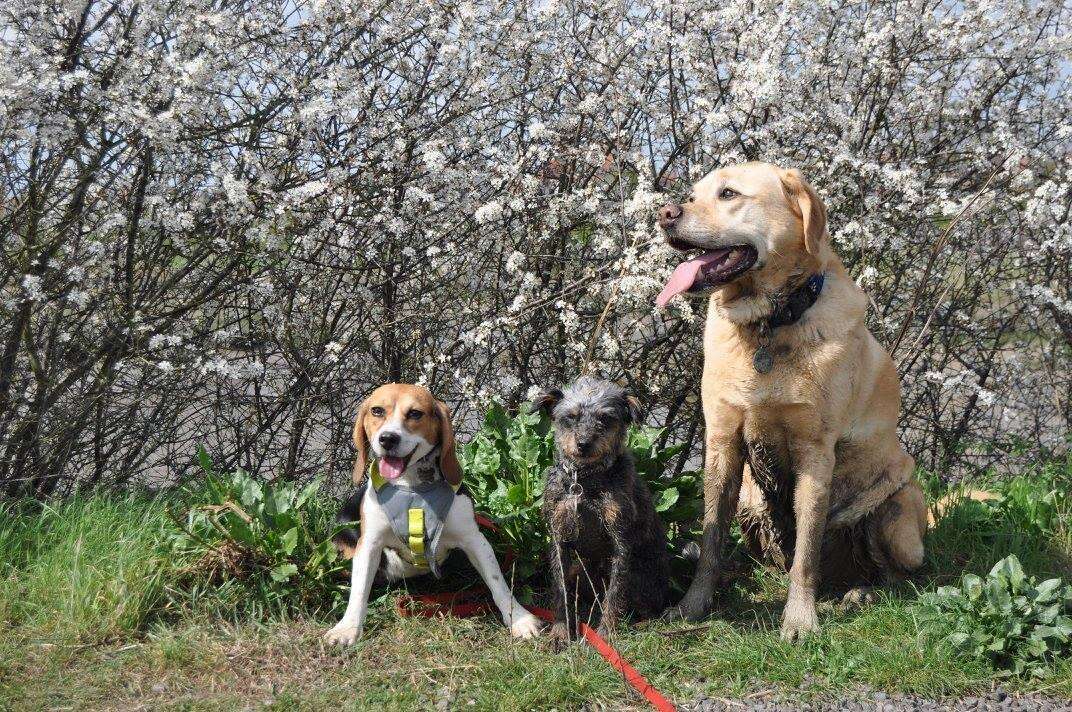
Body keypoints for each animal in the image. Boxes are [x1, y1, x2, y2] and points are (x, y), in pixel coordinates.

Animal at [536, 375, 668, 647]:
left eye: (605, 418)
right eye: (571, 416)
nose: (583, 444)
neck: (584, 482)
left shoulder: (621, 541)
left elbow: (615, 595)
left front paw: (605, 633)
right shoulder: (559, 536)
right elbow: (560, 591)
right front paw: (560, 631)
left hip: (640, 577)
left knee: (648, 609)